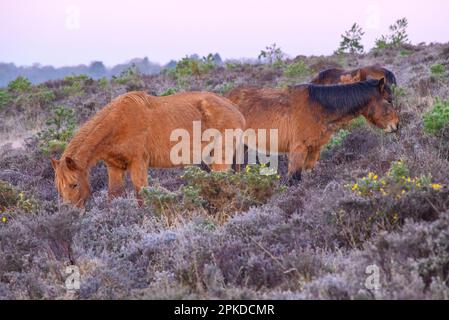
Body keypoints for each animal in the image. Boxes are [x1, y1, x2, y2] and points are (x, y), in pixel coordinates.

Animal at [51, 90, 245, 208]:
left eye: (74, 184)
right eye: (58, 188)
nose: (71, 214)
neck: (118, 123)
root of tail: (236, 109)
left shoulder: (139, 165)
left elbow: (142, 197)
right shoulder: (114, 168)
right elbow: (114, 195)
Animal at [228, 78, 400, 182]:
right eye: (388, 100)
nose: (396, 125)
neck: (317, 108)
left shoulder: (314, 150)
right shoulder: (298, 150)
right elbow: (294, 180)